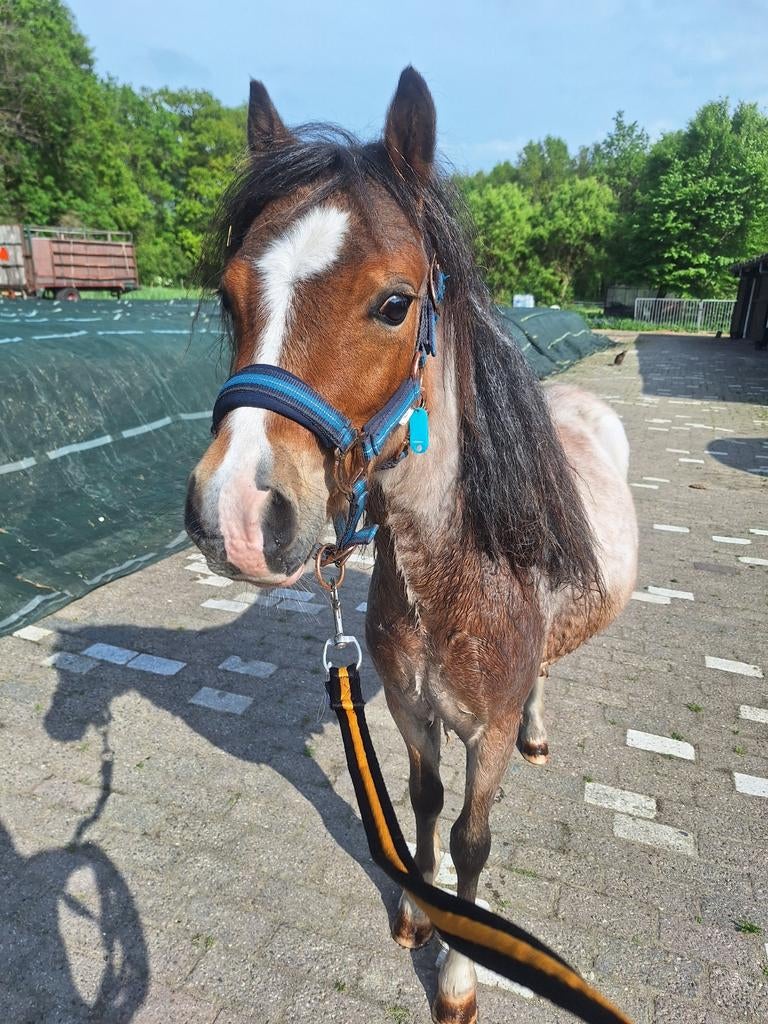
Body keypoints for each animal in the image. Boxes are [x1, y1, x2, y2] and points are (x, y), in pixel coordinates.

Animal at [185, 67, 638, 1024]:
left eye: (395, 304)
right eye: (230, 296)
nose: (233, 514)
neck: (455, 582)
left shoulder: (483, 736)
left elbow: (471, 840)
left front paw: (459, 975)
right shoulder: (406, 710)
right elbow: (421, 802)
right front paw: (416, 913)